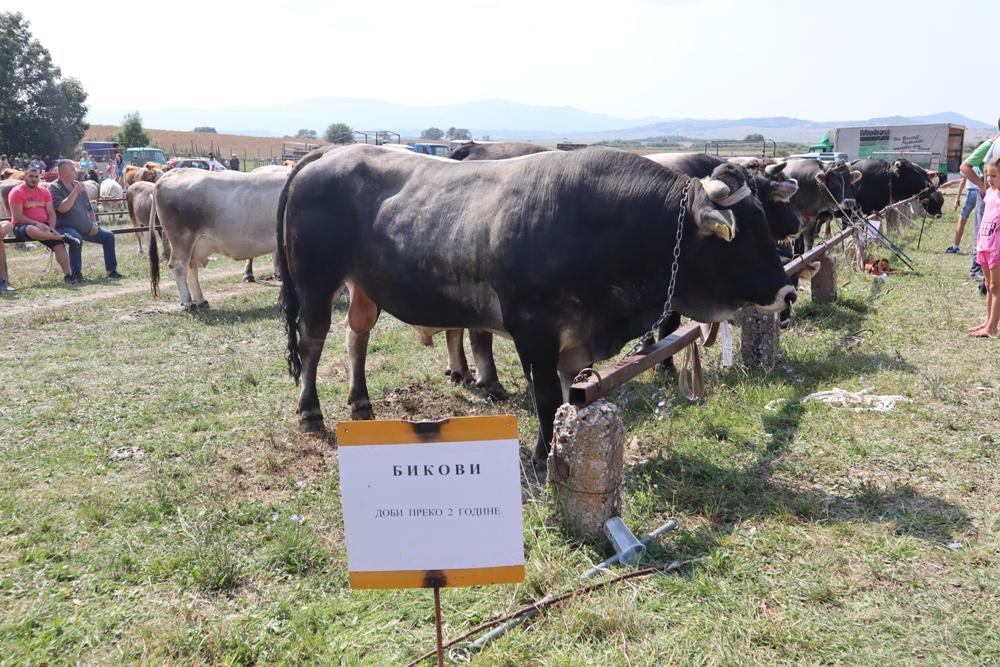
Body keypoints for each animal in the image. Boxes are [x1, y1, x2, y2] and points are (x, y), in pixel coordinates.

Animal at [276, 145, 796, 470]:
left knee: (356, 335)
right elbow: (545, 396)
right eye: (744, 235)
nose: (787, 292)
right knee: (312, 339)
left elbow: (569, 394)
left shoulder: (573, 341)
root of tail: (326, 154)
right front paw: (543, 455)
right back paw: (311, 411)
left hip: (363, 288)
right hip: (316, 282)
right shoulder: (533, 332)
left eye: (764, 219)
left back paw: (360, 402)